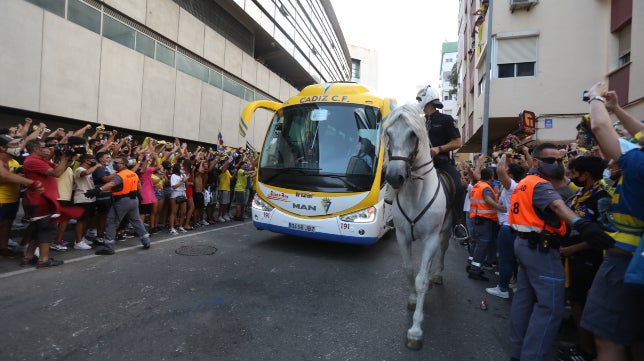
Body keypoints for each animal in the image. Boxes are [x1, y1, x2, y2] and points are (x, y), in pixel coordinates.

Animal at [380, 103, 456, 348]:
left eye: (413, 134)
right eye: (389, 132)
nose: (394, 177)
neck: (415, 194)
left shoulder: (431, 238)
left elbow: (421, 279)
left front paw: (415, 330)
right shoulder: (402, 236)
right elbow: (409, 270)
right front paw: (413, 299)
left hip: (445, 232)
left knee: (442, 253)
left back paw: (437, 276)